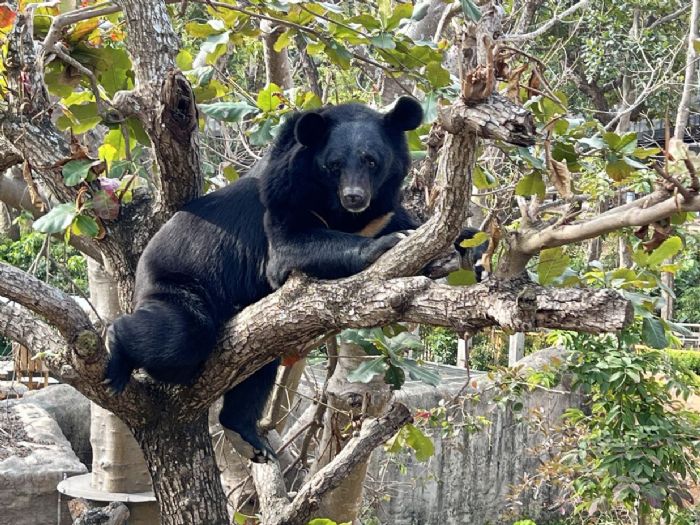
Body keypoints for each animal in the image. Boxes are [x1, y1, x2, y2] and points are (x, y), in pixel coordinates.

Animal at [104, 96, 484, 460]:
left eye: (371, 160)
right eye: (334, 165)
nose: (355, 197)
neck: (343, 213)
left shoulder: (383, 210)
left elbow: (421, 226)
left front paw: (470, 249)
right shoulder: (284, 197)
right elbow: (289, 248)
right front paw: (389, 244)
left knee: (254, 370)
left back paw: (247, 436)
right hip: (178, 285)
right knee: (179, 336)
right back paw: (115, 347)